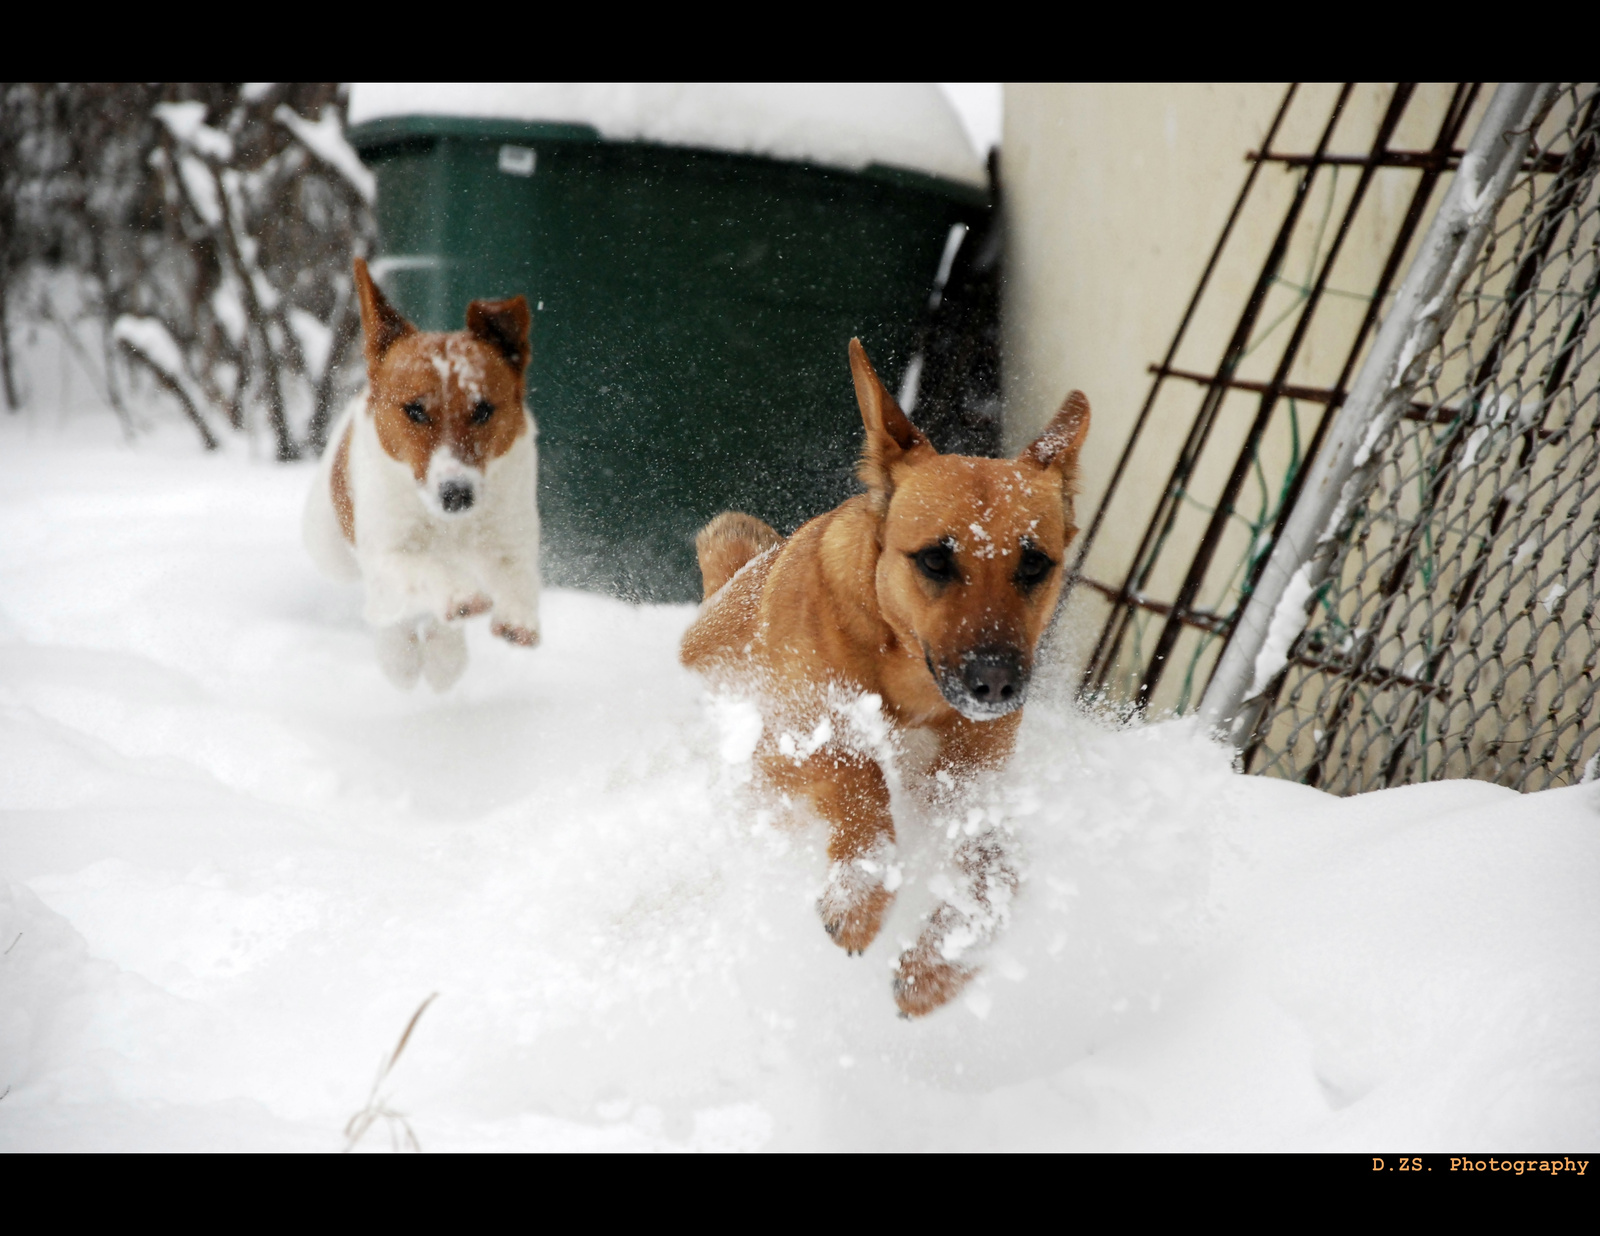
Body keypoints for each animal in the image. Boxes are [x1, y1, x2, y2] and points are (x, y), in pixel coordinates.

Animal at [305, 259, 544, 691]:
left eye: (483, 409)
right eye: (415, 410)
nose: (457, 494)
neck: (447, 524)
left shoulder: (510, 538)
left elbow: (517, 576)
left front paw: (518, 620)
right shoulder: (388, 551)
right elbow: (425, 569)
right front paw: (461, 595)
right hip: (328, 546)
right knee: (383, 610)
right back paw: (401, 657)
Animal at [675, 337, 1088, 1011]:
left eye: (1034, 565)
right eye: (935, 559)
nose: (995, 683)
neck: (906, 672)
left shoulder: (967, 779)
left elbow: (995, 860)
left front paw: (942, 957)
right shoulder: (786, 738)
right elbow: (857, 772)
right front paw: (861, 893)